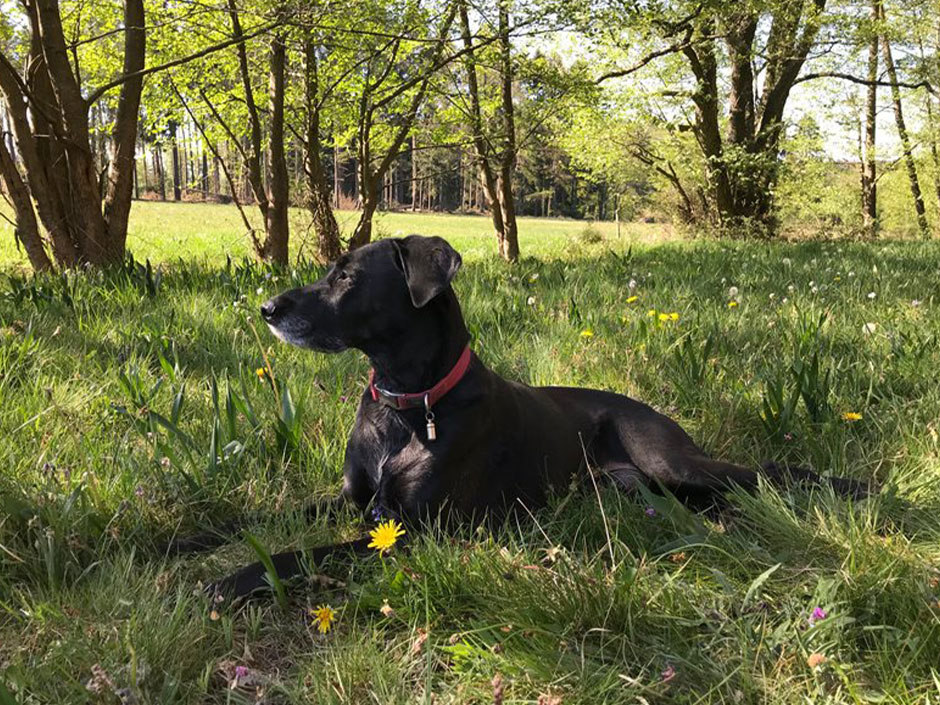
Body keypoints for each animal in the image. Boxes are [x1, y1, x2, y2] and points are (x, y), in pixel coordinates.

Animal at [207, 235, 868, 592]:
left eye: (346, 276)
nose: (267, 308)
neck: (407, 404)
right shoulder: (353, 499)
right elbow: (247, 521)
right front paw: (184, 543)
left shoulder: (416, 528)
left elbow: (307, 553)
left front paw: (230, 580)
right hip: (635, 487)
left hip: (671, 459)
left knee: (759, 474)